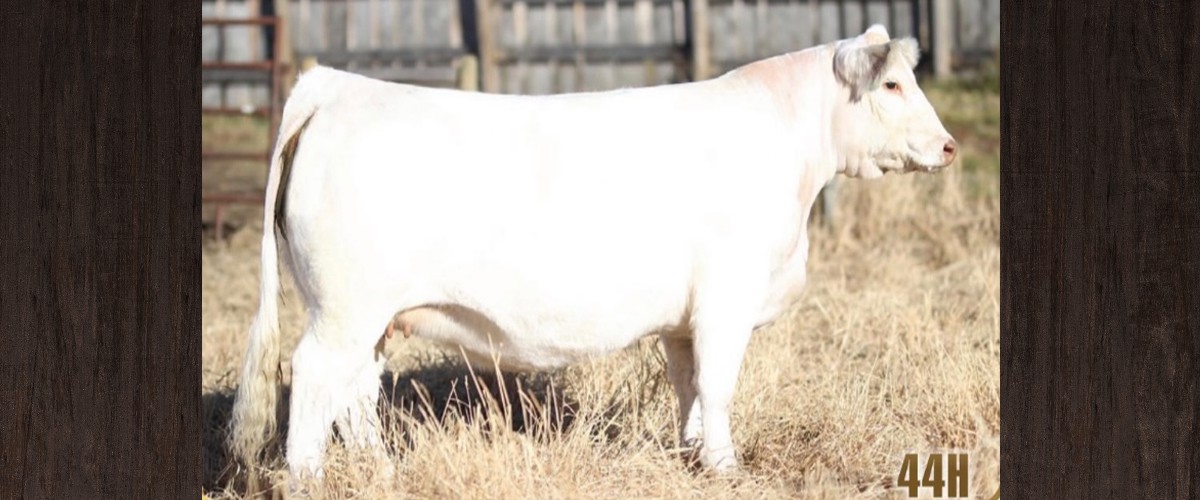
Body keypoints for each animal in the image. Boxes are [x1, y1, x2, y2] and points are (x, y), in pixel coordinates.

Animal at [229, 24, 957, 486]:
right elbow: (719, 386)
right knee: (315, 378)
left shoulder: (684, 320)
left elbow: (690, 388)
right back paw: (309, 478)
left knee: (354, 395)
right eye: (892, 85)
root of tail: (337, 86)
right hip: (343, 310)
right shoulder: (727, 298)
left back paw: (382, 473)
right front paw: (728, 469)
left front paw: (694, 458)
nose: (948, 145)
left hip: (371, 317)